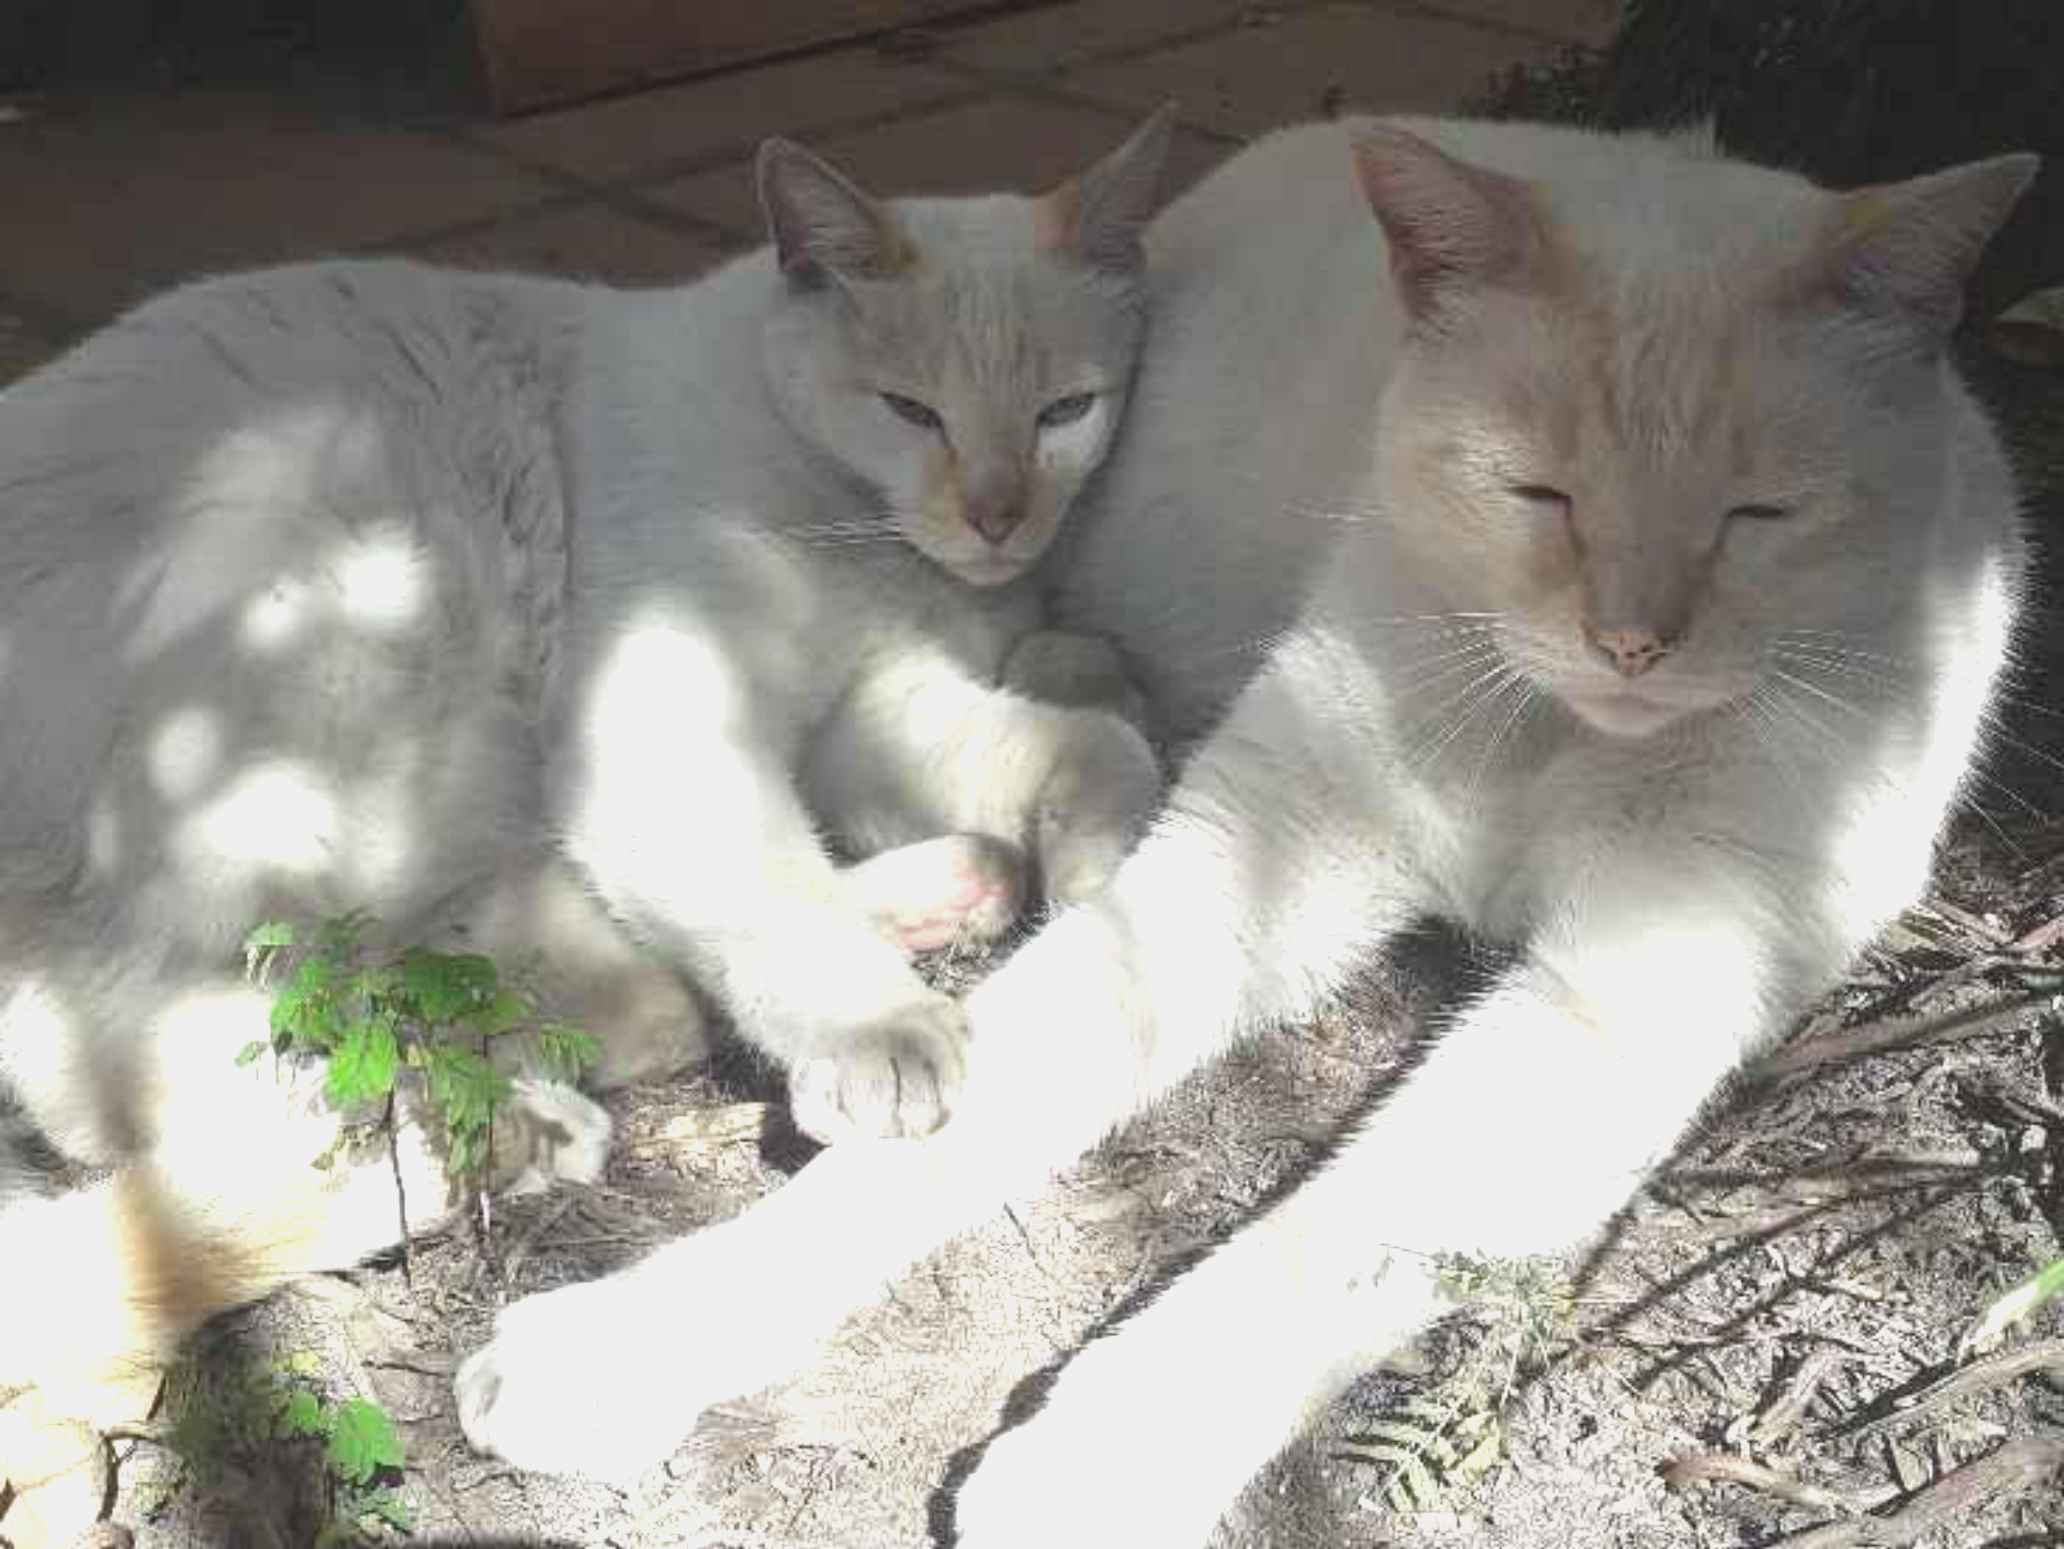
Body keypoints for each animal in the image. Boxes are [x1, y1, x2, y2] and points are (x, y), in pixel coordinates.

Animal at [0, 107, 1174, 1480]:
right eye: (911, 410)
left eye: (1064, 410)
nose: (998, 516)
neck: (863, 529)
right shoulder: (664, 730)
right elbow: (777, 890)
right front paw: (885, 1039)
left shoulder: (871, 713)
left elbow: (1093, 745)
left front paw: (1099, 867)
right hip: (357, 671)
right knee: (206, 1056)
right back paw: (522, 1121)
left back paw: (955, 892)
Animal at [451, 112, 2037, 1549]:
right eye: (1535, 492)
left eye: (1763, 512)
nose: (1631, 643)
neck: (1549, 725)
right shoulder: (1244, 861)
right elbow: (974, 1105)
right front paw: (627, 1338)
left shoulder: (1623, 992)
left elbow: (1335, 1228)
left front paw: (1103, 1455)